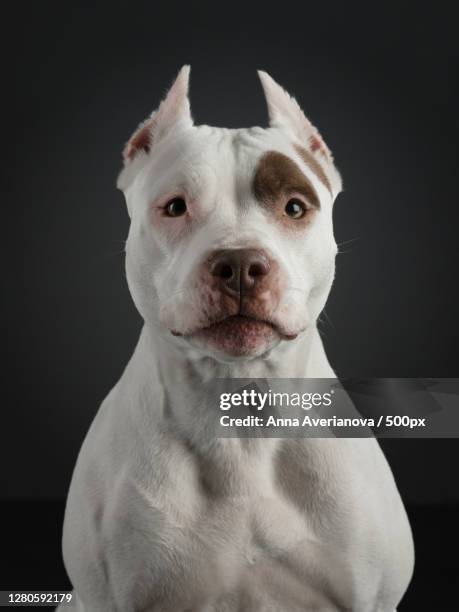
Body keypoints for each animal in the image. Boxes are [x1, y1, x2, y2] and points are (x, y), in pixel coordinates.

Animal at [59, 67, 416, 612]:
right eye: (175, 207)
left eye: (295, 207)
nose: (242, 265)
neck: (240, 411)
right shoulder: (104, 597)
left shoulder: (373, 598)